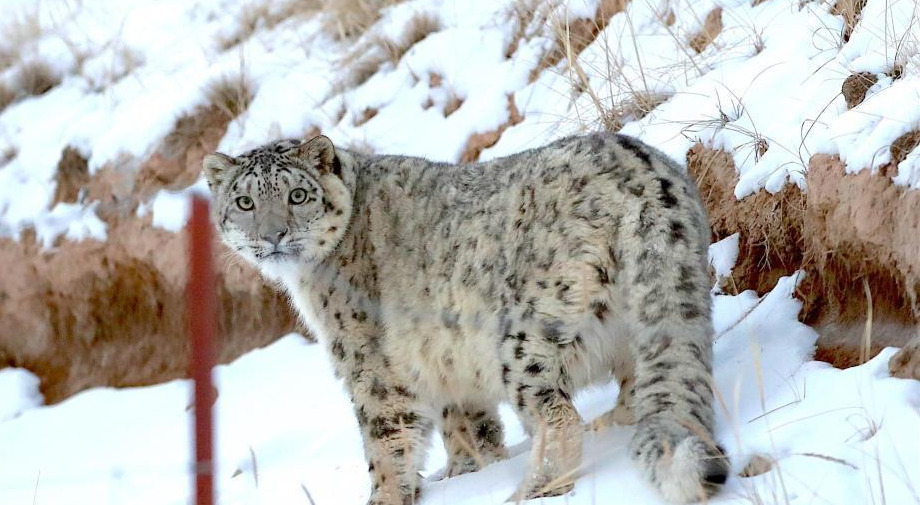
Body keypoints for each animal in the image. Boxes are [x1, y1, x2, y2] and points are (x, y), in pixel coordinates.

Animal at [205, 132, 728, 502]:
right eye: (245, 202)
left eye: (297, 195)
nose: (272, 235)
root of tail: (639, 170)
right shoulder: (445, 363)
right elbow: (467, 424)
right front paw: (465, 470)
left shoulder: (368, 365)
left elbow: (383, 441)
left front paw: (386, 497)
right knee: (642, 381)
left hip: (525, 333)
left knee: (558, 416)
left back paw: (530, 491)